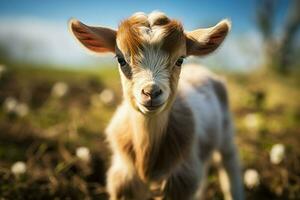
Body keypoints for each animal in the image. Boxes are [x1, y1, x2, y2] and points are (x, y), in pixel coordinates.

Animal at [69, 11, 244, 200]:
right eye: (121, 60)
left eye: (180, 60)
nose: (151, 92)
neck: (146, 155)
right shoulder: (124, 178)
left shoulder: (179, 180)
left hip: (226, 132)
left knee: (229, 165)